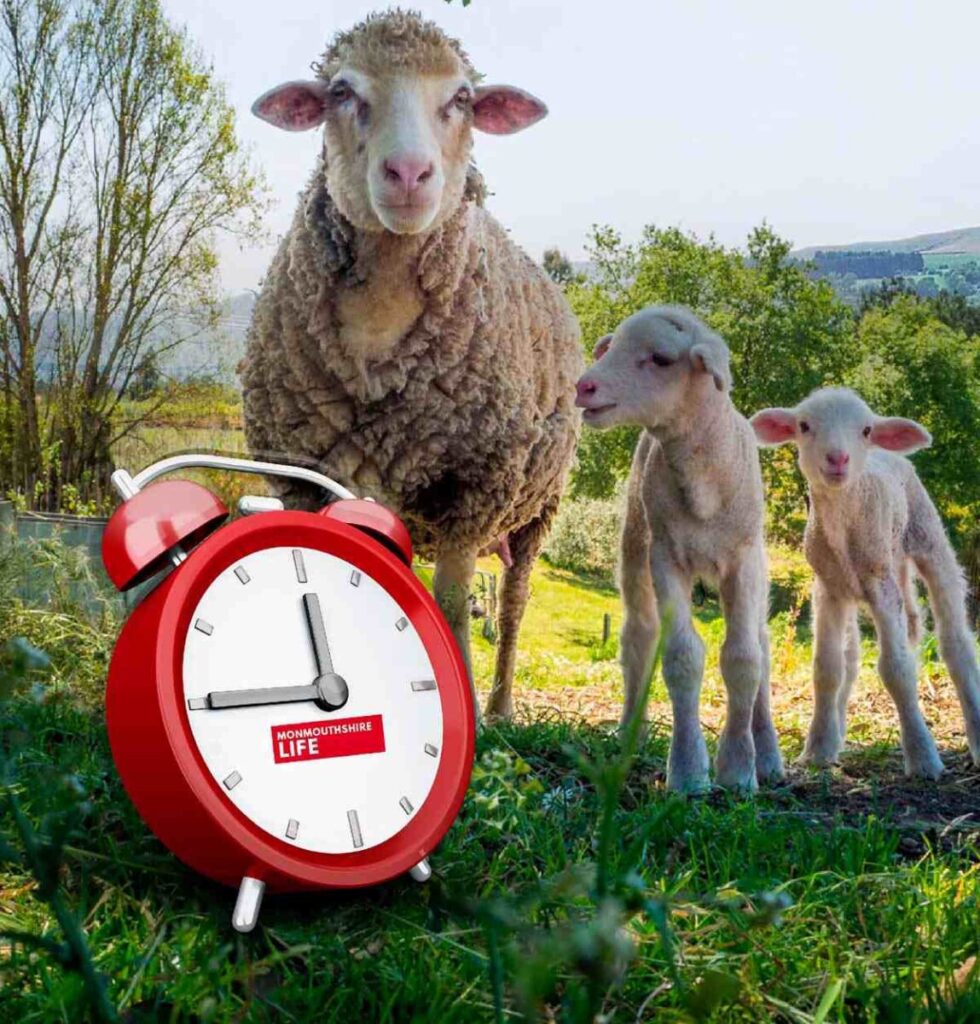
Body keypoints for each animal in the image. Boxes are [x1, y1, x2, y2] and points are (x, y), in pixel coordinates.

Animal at [239, 10, 583, 719]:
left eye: (462, 98)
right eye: (341, 91)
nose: (407, 173)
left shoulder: (474, 487)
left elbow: (452, 605)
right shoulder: (305, 478)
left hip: (537, 508)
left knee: (514, 603)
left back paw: (500, 707)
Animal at [575, 306, 784, 793]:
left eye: (661, 358)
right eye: (612, 347)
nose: (584, 386)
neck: (703, 481)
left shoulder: (743, 561)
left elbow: (745, 659)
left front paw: (739, 769)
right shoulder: (666, 556)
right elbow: (681, 657)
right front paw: (689, 771)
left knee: (763, 647)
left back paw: (768, 753)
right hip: (636, 543)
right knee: (639, 635)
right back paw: (630, 732)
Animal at [751, 387, 980, 777]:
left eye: (866, 430)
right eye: (804, 426)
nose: (838, 458)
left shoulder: (881, 585)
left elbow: (897, 669)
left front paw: (923, 757)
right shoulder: (829, 588)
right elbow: (828, 668)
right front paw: (818, 749)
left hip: (926, 534)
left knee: (956, 644)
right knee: (853, 656)